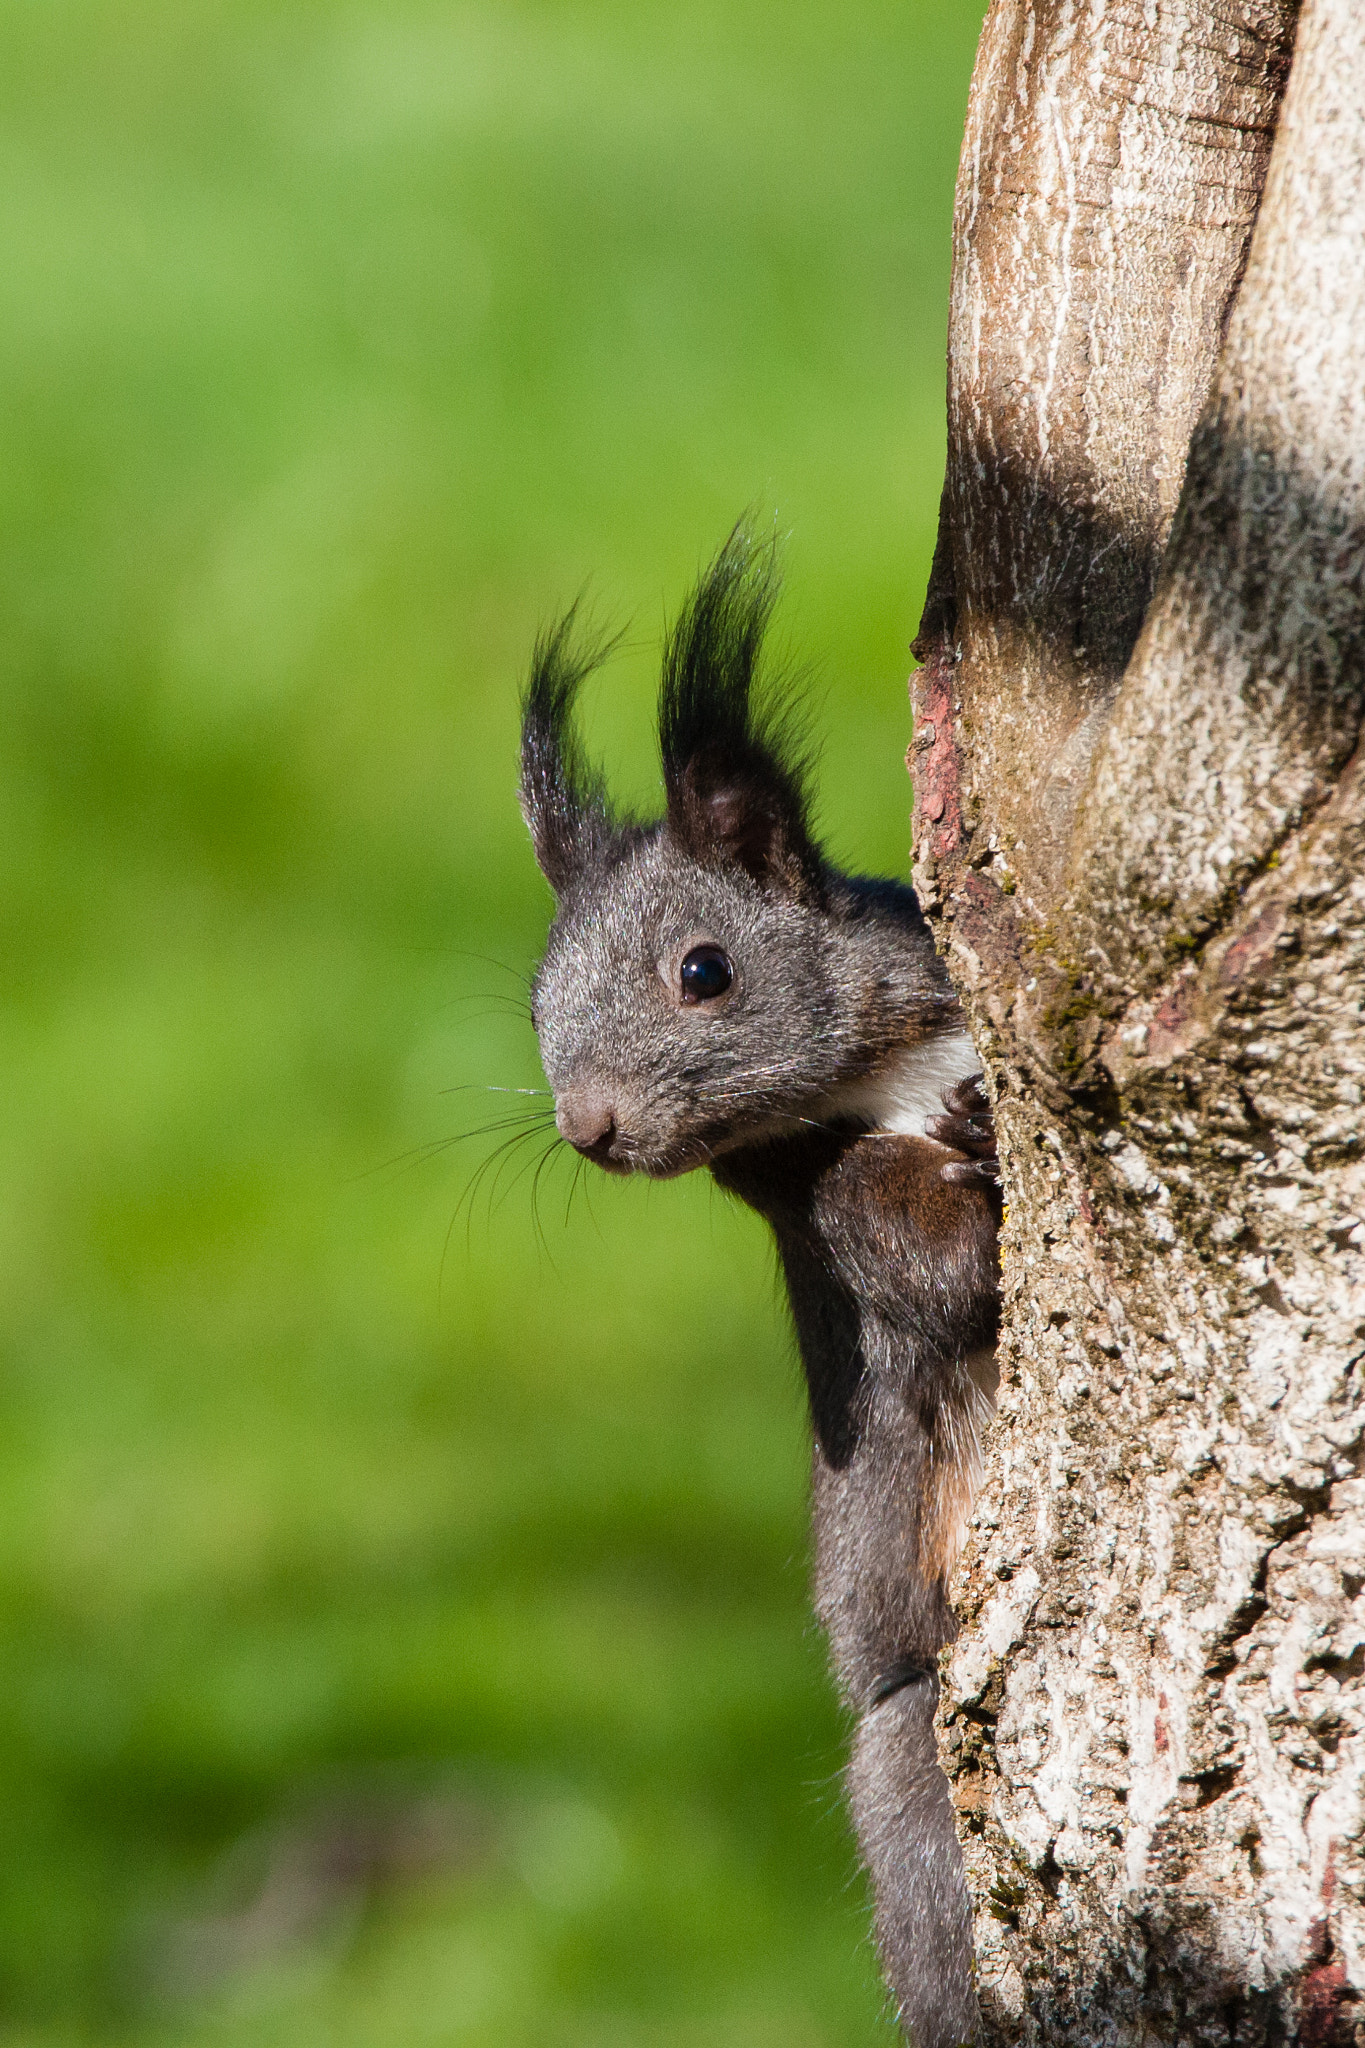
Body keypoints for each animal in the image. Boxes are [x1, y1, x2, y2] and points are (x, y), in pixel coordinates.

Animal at [518, 528, 1000, 2048]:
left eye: (704, 969)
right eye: (535, 1007)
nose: (590, 1128)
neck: (884, 1072)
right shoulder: (818, 1210)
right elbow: (942, 1271)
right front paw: (980, 1175)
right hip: (911, 1756)